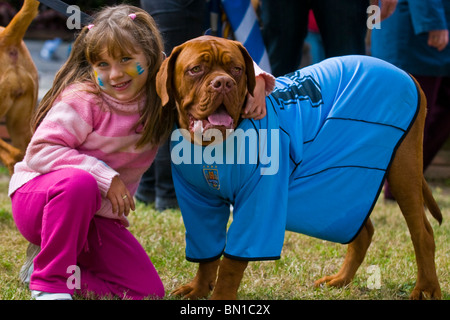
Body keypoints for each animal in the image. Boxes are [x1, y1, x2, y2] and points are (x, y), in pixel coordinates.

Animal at [157, 35, 442, 300]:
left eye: (236, 69)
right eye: (196, 69)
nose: (223, 83)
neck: (211, 145)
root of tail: (405, 74)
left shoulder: (260, 202)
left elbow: (232, 262)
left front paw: (222, 297)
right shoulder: (198, 203)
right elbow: (206, 253)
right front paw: (198, 289)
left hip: (402, 171)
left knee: (423, 234)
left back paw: (426, 288)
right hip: (339, 182)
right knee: (362, 231)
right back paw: (340, 280)